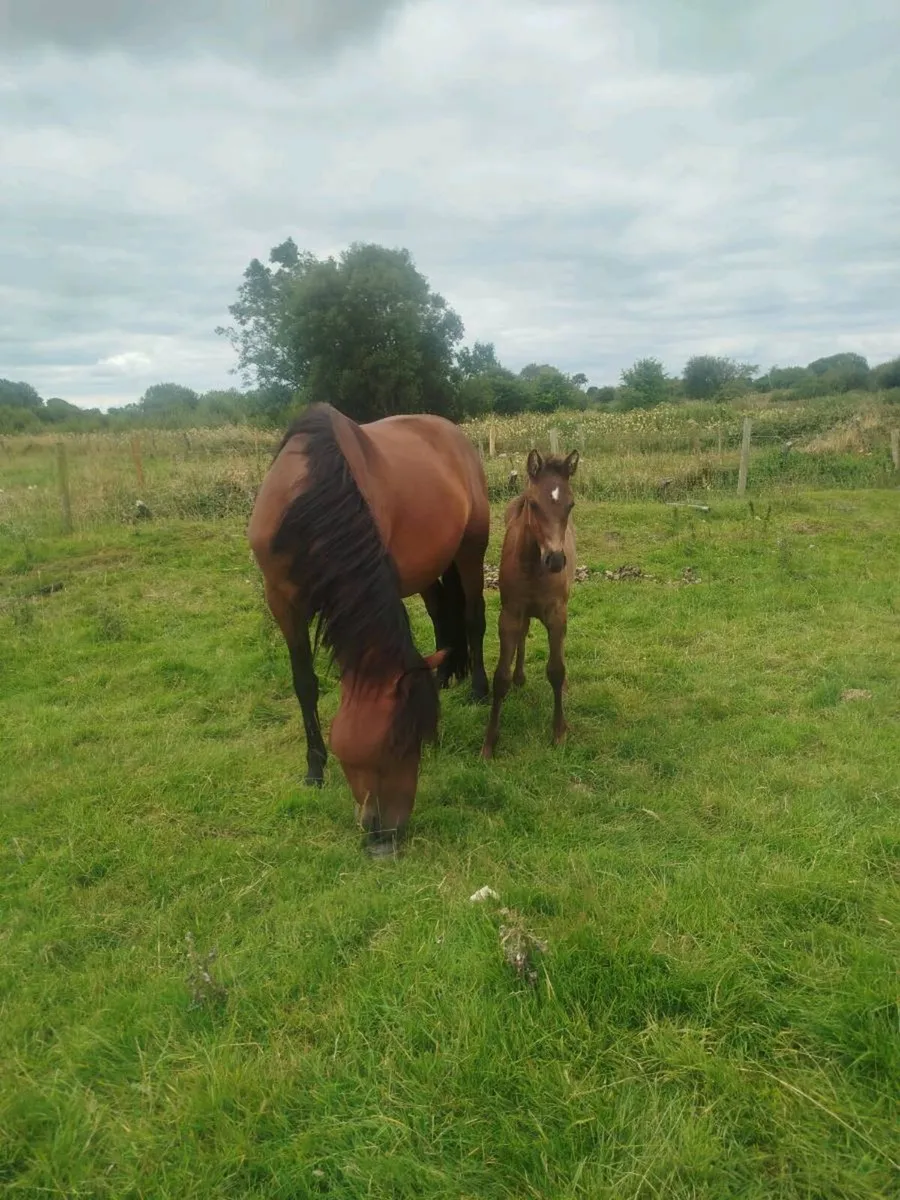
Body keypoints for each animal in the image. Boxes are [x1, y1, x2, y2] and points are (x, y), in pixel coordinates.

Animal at [248, 402, 490, 855]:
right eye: (398, 743)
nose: (388, 830)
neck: (306, 498)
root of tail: (451, 432)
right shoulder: (283, 604)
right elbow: (304, 683)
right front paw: (314, 768)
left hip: (471, 549)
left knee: (473, 617)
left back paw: (480, 689)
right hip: (428, 567)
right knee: (440, 614)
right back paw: (443, 675)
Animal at [481, 447, 579, 759]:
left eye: (570, 505)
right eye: (534, 505)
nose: (556, 560)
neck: (534, 568)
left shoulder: (557, 614)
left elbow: (556, 670)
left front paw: (559, 732)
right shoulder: (510, 614)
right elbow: (499, 677)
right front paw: (489, 743)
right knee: (524, 635)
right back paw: (520, 677)